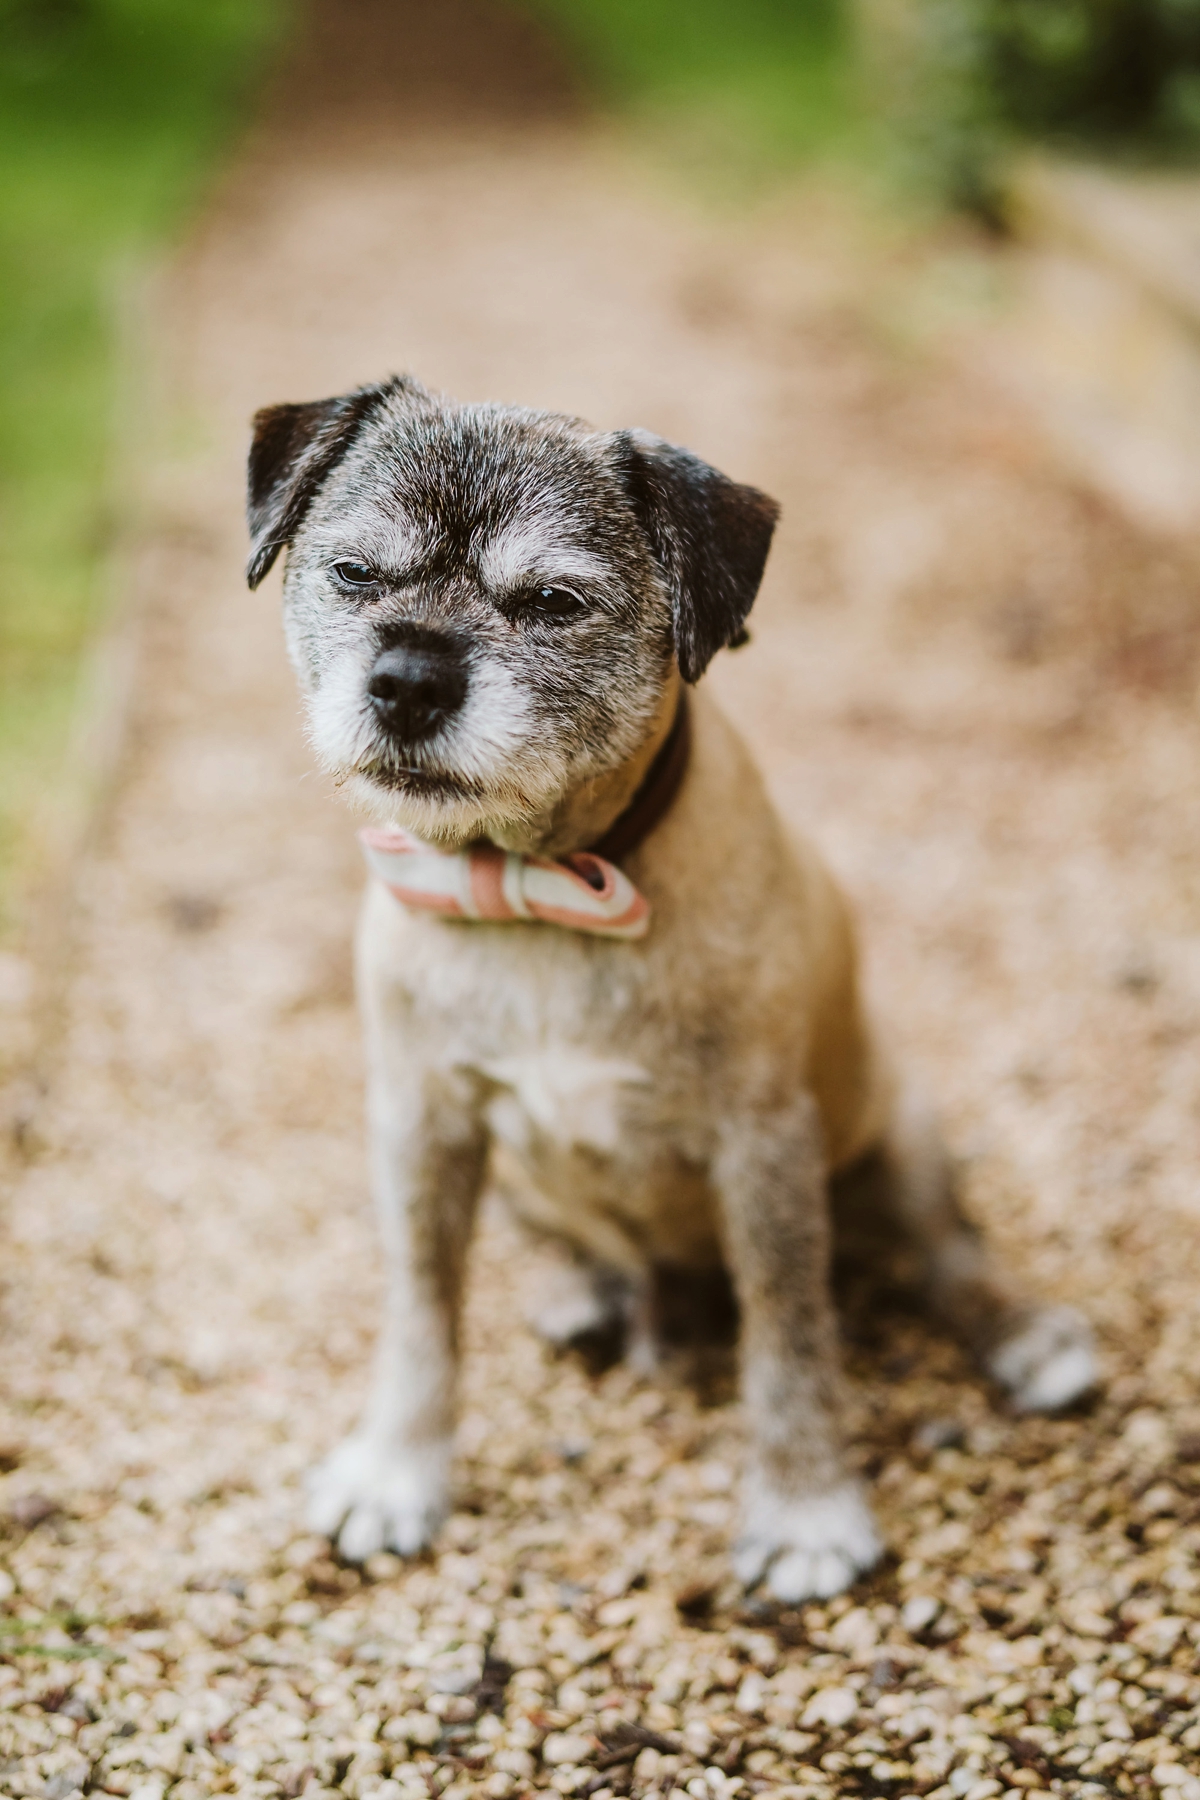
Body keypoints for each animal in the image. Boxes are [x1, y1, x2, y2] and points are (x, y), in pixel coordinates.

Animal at [244, 372, 1101, 1598]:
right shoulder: (422, 1125)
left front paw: (804, 1511)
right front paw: (397, 1471)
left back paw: (1022, 1334)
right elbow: (421, 1315)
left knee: (947, 1255)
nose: (406, 680)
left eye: (554, 602)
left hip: (902, 1127)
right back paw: (581, 1292)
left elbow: (788, 1341)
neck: (541, 892)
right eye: (355, 574)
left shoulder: (763, 1150)